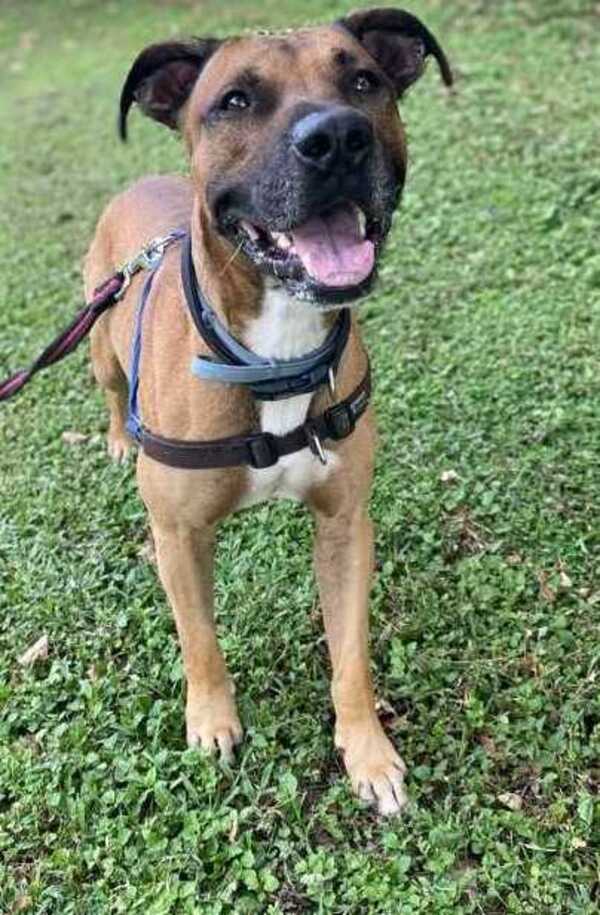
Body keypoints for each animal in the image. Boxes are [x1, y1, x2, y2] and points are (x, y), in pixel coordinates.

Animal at [84, 8, 452, 816]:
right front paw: (212, 722)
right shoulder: (178, 536)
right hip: (97, 340)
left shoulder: (346, 525)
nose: (338, 137)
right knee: (110, 390)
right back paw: (119, 439)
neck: (274, 349)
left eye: (363, 81)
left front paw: (367, 752)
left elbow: (351, 658)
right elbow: (199, 641)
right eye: (235, 101)